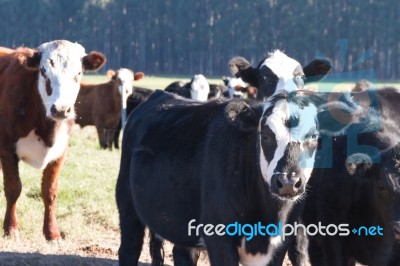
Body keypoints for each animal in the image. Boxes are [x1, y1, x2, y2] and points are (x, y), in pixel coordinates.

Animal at [0, 40, 106, 241]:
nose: (61, 109)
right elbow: (13, 188)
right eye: (43, 71)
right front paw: (11, 228)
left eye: (78, 73)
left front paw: (52, 233)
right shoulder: (7, 149)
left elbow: (50, 191)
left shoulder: (60, 151)